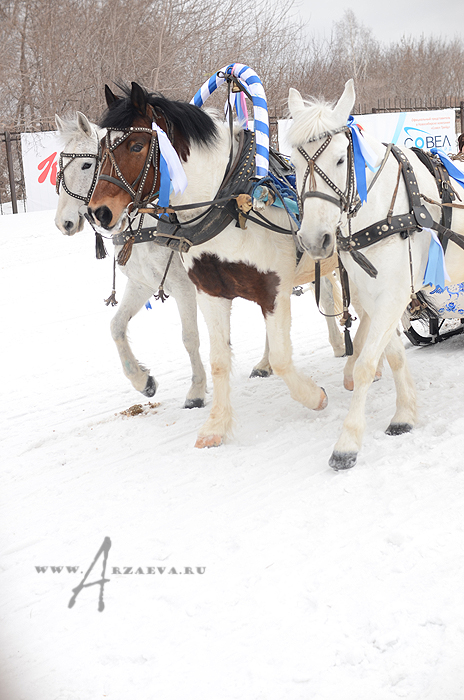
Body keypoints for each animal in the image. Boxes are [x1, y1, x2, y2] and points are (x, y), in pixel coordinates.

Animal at [86, 83, 348, 448]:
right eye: (100, 149)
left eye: (136, 145)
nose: (98, 212)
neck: (230, 202)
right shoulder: (210, 291)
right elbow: (218, 359)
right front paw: (215, 426)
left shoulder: (272, 288)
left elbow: (284, 359)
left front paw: (315, 396)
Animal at [288, 79, 464, 468]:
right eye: (292, 160)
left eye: (341, 159)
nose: (314, 239)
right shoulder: (374, 294)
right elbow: (393, 354)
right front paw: (405, 413)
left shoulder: (394, 293)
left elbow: (366, 364)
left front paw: (348, 442)